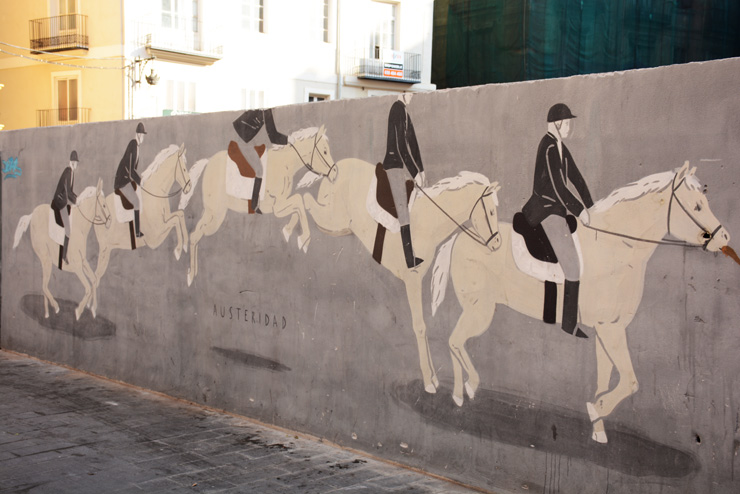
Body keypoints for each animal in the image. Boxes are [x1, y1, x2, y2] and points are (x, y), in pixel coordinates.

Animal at [13, 179, 112, 320]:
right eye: (103, 205)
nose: (110, 221)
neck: (80, 227)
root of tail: (33, 213)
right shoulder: (77, 265)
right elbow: (88, 287)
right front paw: (78, 311)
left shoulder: (83, 261)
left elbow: (94, 280)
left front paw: (92, 309)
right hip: (46, 259)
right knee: (44, 286)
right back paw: (55, 307)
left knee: (44, 286)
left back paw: (47, 313)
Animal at [93, 144, 191, 288]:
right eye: (184, 168)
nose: (189, 187)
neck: (156, 194)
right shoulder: (155, 237)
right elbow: (175, 221)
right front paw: (178, 250)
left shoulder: (166, 218)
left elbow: (180, 215)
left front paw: (184, 246)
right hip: (105, 249)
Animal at [180, 125, 337, 286]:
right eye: (325, 151)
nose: (335, 173)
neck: (285, 164)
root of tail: (208, 162)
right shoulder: (277, 207)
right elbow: (298, 202)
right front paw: (304, 239)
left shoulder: (281, 204)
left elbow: (298, 203)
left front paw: (287, 231)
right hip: (215, 214)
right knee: (195, 235)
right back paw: (191, 276)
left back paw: (193, 273)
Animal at [302, 157, 502, 393]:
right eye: (491, 212)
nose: (497, 243)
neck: (427, 222)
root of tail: (336, 166)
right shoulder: (412, 279)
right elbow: (419, 326)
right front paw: (428, 380)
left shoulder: (419, 280)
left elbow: (423, 324)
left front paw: (434, 377)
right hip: (333, 219)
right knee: (303, 199)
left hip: (338, 226)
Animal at [431, 161, 732, 443]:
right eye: (697, 205)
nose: (724, 238)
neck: (616, 249)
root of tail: (461, 236)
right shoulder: (611, 330)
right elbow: (630, 382)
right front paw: (597, 409)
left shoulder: (606, 330)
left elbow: (604, 379)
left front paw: (597, 427)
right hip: (480, 311)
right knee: (455, 341)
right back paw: (466, 389)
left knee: (455, 342)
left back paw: (460, 393)